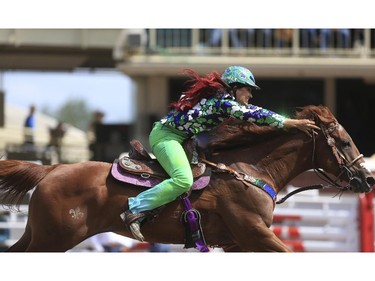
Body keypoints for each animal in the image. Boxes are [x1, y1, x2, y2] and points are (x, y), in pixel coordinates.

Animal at [0, 103, 374, 252]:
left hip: (40, 235)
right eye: (344, 142)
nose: (367, 179)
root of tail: (51, 168)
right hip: (54, 238)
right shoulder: (255, 233)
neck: (248, 171)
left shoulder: (237, 243)